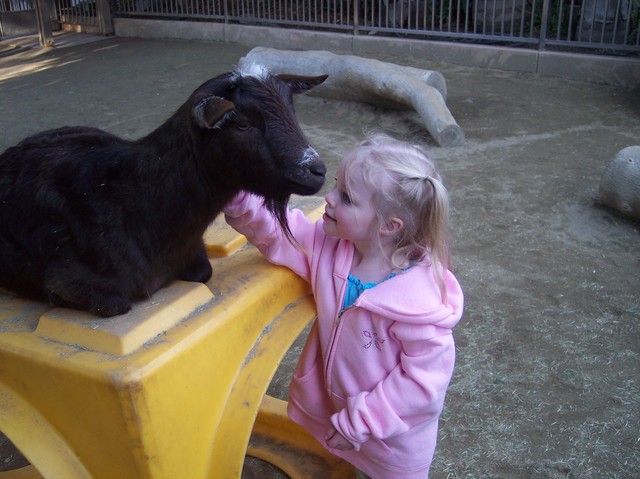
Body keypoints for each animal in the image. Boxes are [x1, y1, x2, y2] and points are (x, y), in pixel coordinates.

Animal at [0, 64, 328, 318]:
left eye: (292, 113)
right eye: (243, 124)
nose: (317, 170)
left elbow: (203, 272)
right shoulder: (67, 276)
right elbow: (111, 302)